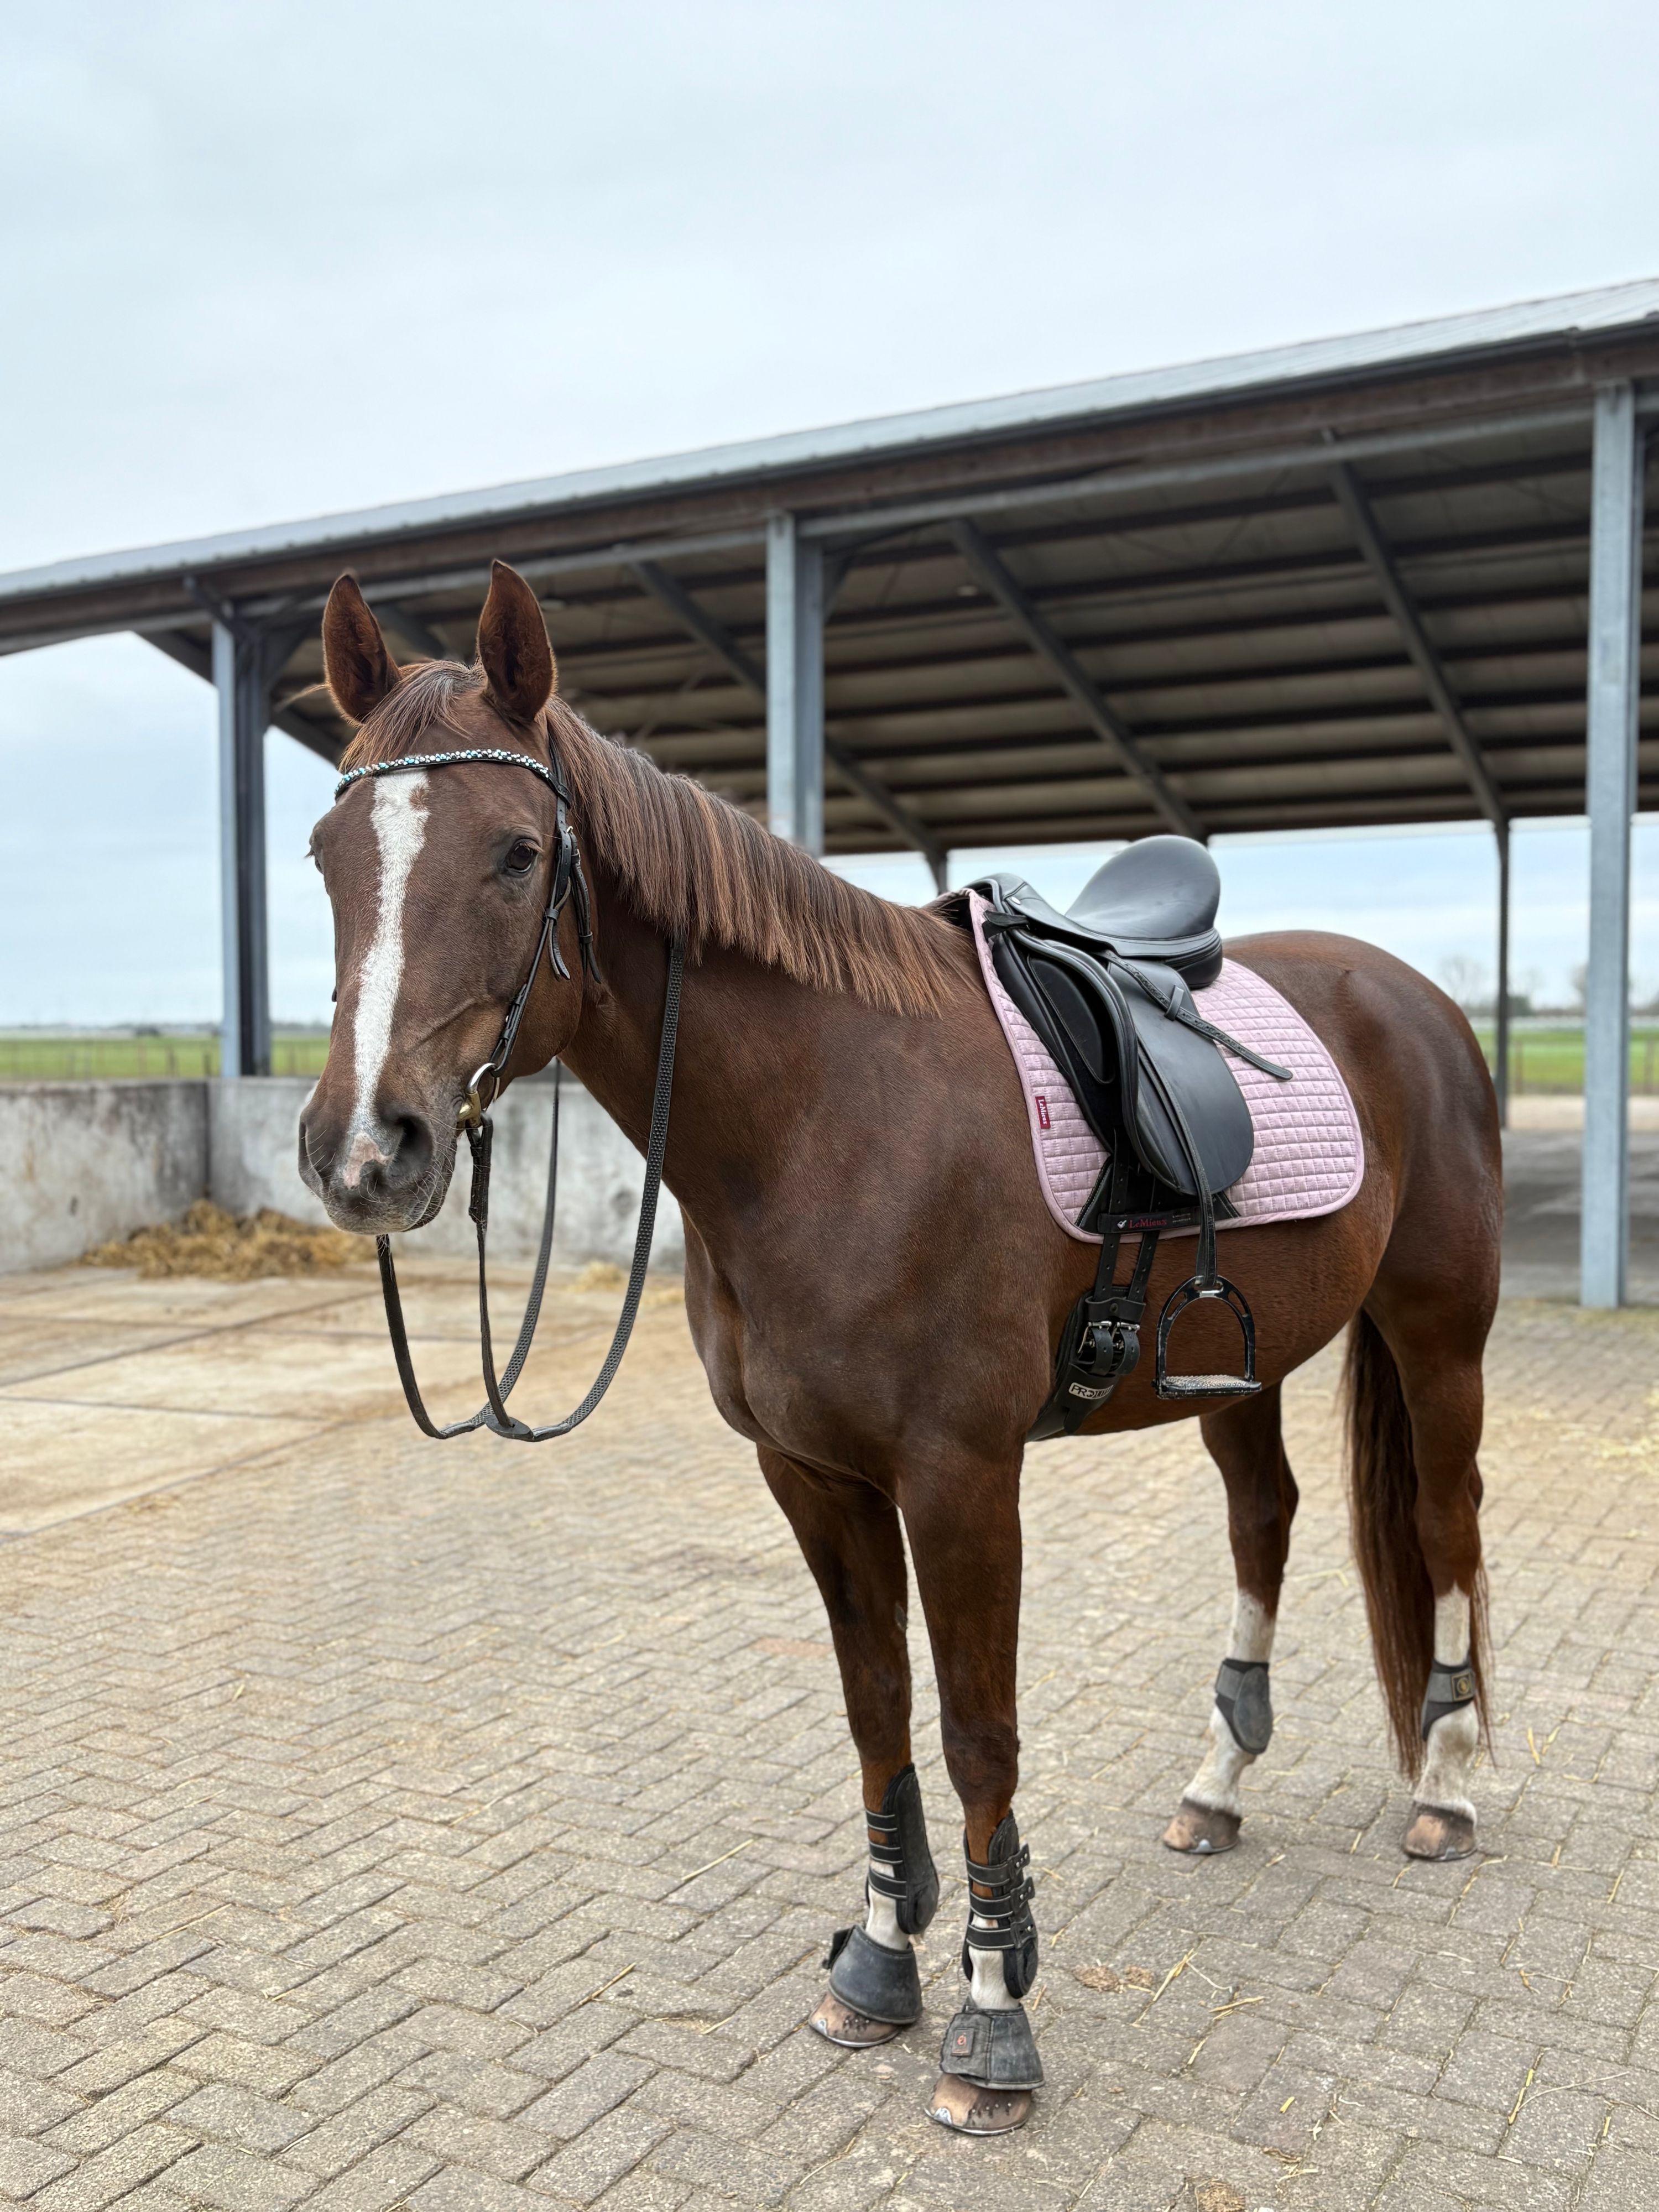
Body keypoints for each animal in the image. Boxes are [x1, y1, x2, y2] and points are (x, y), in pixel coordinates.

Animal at [299, 561, 1500, 2136]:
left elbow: (977, 1726)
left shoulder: (959, 1478)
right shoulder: (813, 1476)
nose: (365, 1151)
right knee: (1268, 1518)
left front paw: (993, 2016)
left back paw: (1450, 1780)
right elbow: (875, 1705)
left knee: (1448, 1524)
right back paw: (1218, 1781)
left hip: (1438, 1328)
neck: (829, 1118)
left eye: (515, 852)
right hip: (1237, 1363)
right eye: (326, 856)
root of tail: (1413, 998)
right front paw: (877, 1959)